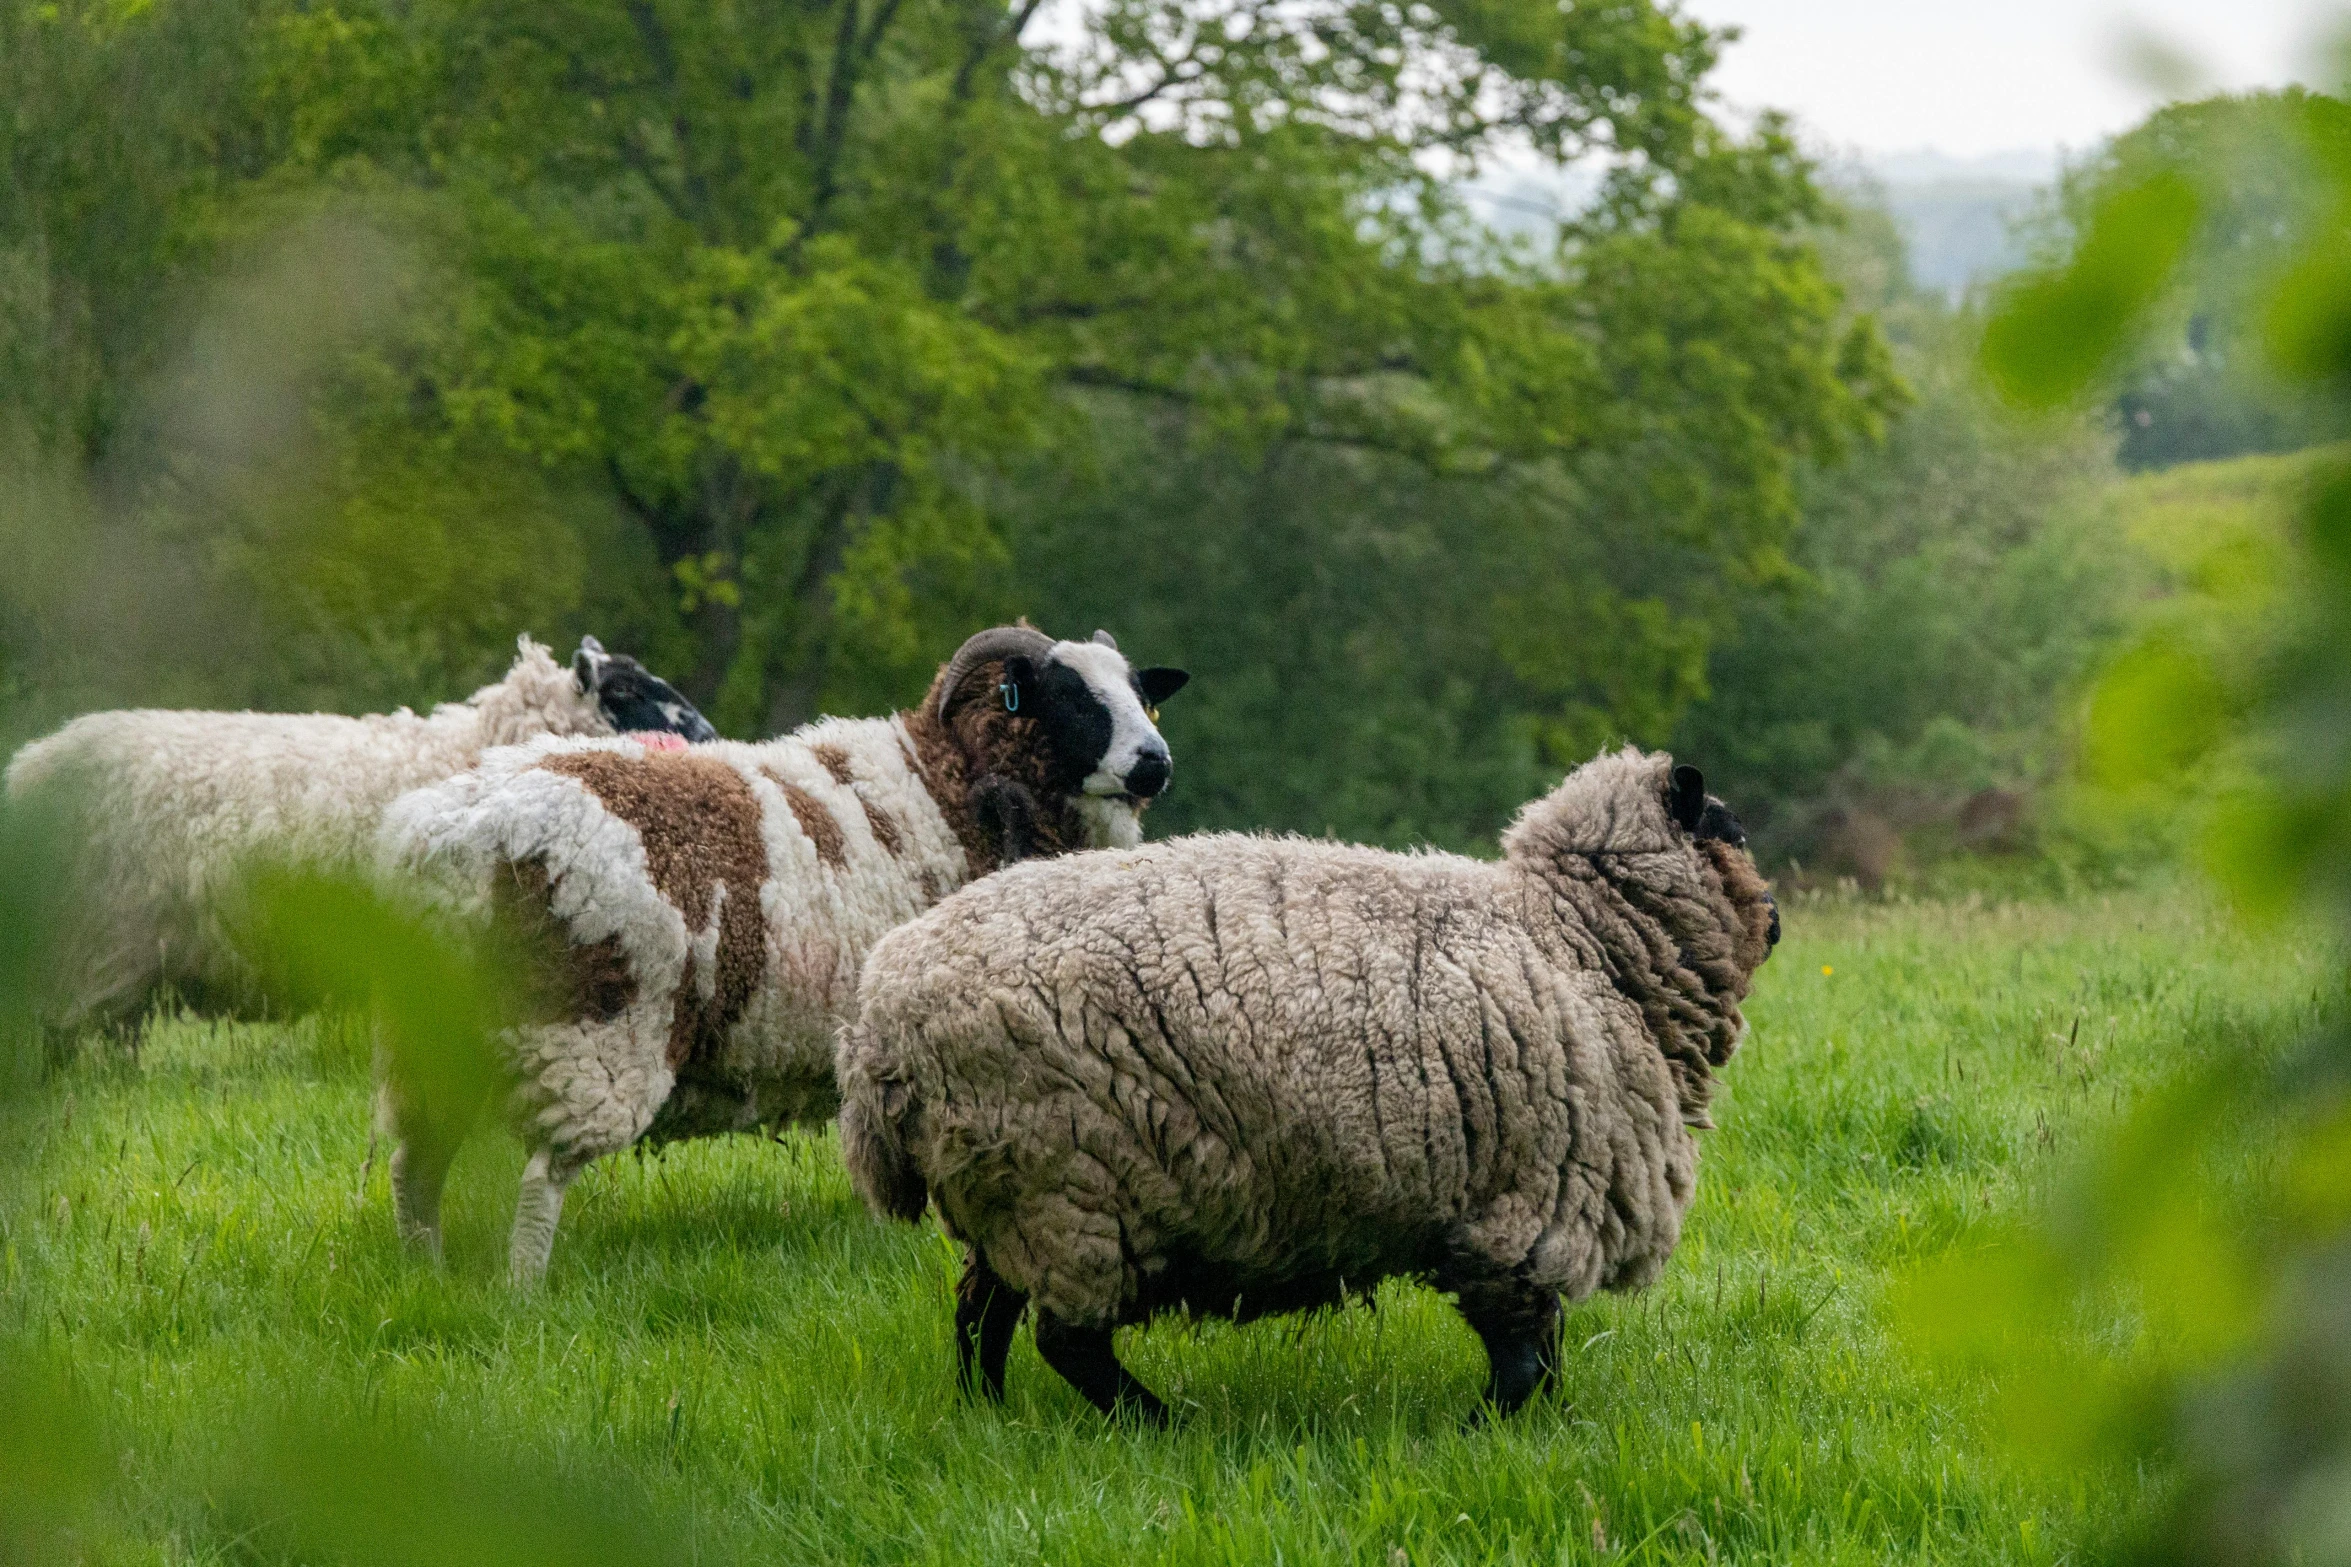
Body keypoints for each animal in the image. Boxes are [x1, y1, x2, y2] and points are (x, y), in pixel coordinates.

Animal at [387, 624, 1203, 1287]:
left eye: (1141, 695)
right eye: (1070, 698)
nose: (1155, 762)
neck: (946, 790)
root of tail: (456, 837)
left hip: (433, 1036)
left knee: (414, 1165)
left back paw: (427, 1277)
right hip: (593, 1028)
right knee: (539, 1177)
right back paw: (524, 1292)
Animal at [836, 751, 1767, 1428]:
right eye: (1732, 826)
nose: (1777, 915)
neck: (1578, 938)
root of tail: (875, 1026)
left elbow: (1537, 1351)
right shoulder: (1528, 1205)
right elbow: (1524, 1351)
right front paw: (1490, 1435)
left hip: (1006, 1188)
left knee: (980, 1312)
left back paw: (985, 1416)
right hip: (1065, 1179)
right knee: (1065, 1339)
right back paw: (1160, 1425)